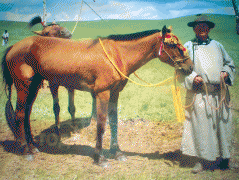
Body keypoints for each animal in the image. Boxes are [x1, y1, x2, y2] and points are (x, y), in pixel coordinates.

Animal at [1, 25, 192, 166]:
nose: (189, 67)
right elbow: (101, 124)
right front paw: (99, 157)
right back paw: (26, 150)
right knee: (19, 115)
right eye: (173, 45)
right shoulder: (102, 94)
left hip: (34, 86)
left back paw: (33, 147)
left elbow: (113, 122)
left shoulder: (114, 93)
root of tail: (13, 47)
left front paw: (117, 152)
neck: (117, 54)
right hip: (23, 86)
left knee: (26, 114)